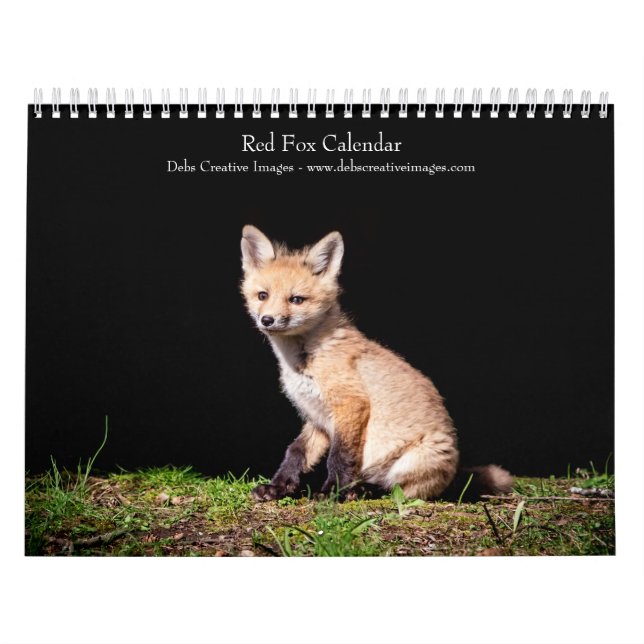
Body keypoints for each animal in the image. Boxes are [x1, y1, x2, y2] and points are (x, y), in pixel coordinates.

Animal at [240, 225, 513, 501]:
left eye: (296, 299)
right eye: (262, 295)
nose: (267, 320)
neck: (303, 361)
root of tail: (454, 473)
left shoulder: (351, 404)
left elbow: (339, 456)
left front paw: (332, 491)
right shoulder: (317, 418)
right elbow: (296, 452)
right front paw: (277, 487)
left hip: (416, 461)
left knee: (395, 489)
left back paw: (360, 490)